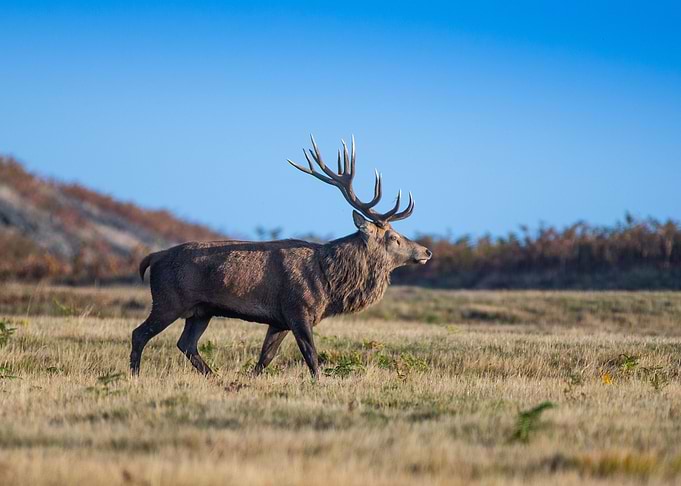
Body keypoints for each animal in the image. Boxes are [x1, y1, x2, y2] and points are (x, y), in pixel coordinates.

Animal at [131, 136, 432, 378]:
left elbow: (265, 359)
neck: (329, 284)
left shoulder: (278, 320)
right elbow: (311, 357)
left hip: (201, 310)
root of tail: (153, 257)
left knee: (186, 344)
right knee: (140, 334)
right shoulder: (298, 309)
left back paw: (213, 376)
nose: (426, 251)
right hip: (169, 300)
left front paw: (249, 380)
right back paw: (135, 375)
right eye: (393, 237)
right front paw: (320, 384)